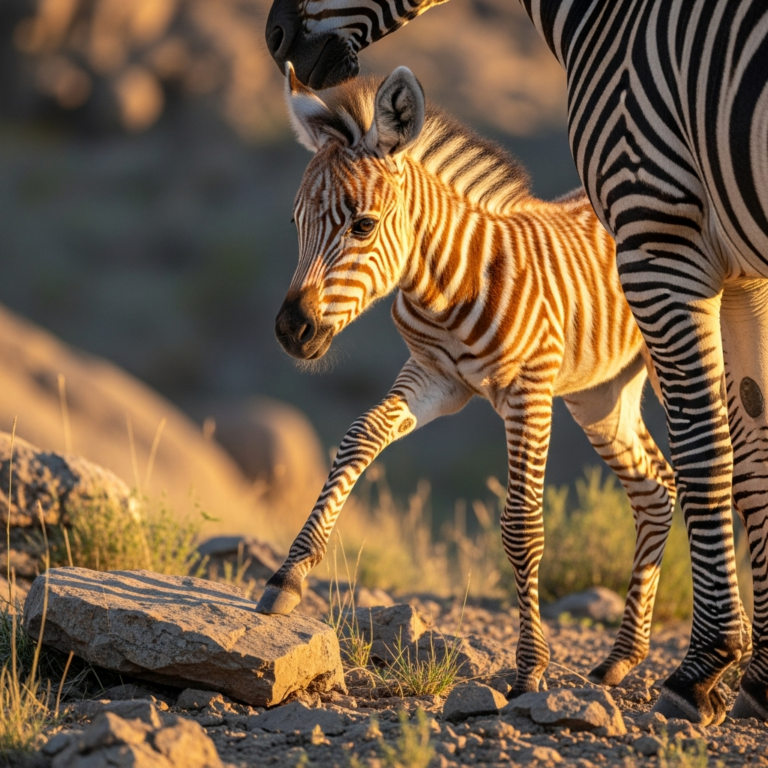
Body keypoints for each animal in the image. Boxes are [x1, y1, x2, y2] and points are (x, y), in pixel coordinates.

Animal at [262, 0, 768, 725]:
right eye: (296, 223)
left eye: (362, 226)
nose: (291, 332)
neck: (446, 275)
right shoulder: (435, 377)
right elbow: (357, 439)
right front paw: (289, 575)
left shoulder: (528, 390)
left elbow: (523, 523)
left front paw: (529, 670)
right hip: (601, 394)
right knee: (656, 487)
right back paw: (625, 658)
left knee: (721, 468)